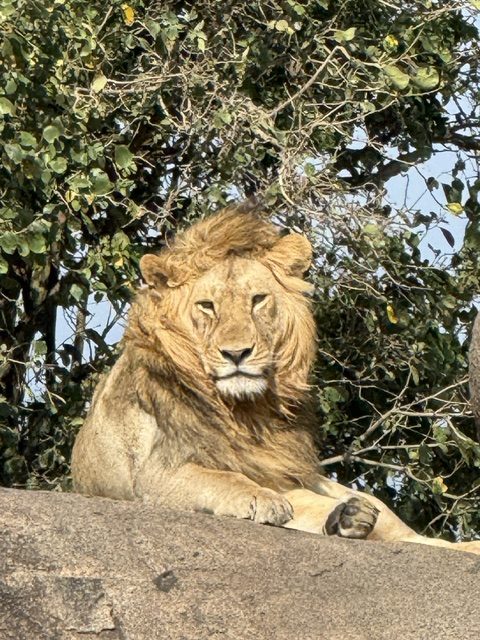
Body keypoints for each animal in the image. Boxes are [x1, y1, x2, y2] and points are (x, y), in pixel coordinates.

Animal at [72, 205, 480, 553]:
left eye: (257, 300)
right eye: (207, 306)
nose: (236, 353)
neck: (247, 409)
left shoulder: (282, 472)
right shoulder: (154, 475)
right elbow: (221, 478)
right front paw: (263, 500)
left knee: (417, 538)